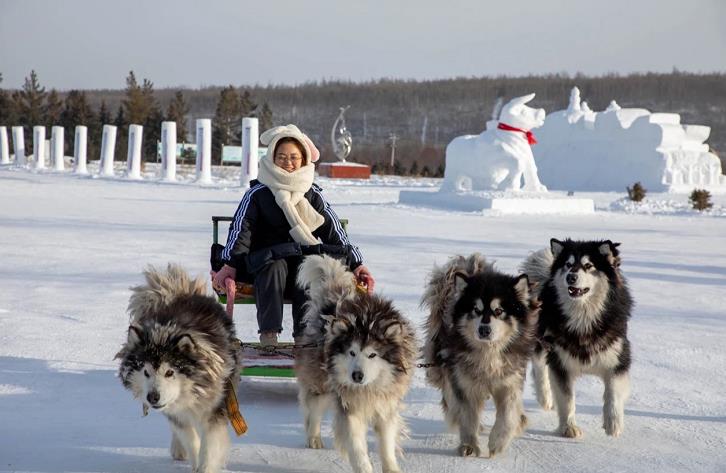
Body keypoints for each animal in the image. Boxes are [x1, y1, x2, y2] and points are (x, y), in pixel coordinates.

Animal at [116, 264, 242, 472]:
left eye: (170, 372)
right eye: (146, 372)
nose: (153, 397)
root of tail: (180, 292)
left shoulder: (215, 407)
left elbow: (209, 447)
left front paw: (205, 467)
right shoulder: (177, 414)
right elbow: (190, 439)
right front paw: (193, 457)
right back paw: (178, 448)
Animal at [296, 254, 418, 472]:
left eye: (372, 355)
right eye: (351, 353)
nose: (357, 376)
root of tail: (335, 301)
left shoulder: (386, 405)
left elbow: (386, 444)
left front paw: (391, 467)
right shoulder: (349, 407)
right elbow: (357, 447)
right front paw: (364, 467)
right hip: (322, 382)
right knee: (313, 408)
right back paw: (313, 436)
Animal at [420, 254, 540, 458]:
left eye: (499, 311)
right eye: (476, 310)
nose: (484, 329)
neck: (488, 354)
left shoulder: (509, 383)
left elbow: (508, 415)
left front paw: (498, 442)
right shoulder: (464, 384)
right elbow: (468, 416)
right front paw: (469, 444)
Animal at [524, 240, 636, 438]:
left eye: (588, 265)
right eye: (568, 265)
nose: (571, 277)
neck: (583, 319)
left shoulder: (618, 358)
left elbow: (613, 392)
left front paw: (613, 422)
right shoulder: (560, 363)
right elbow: (567, 398)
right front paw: (568, 427)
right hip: (542, 340)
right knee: (539, 367)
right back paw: (545, 397)